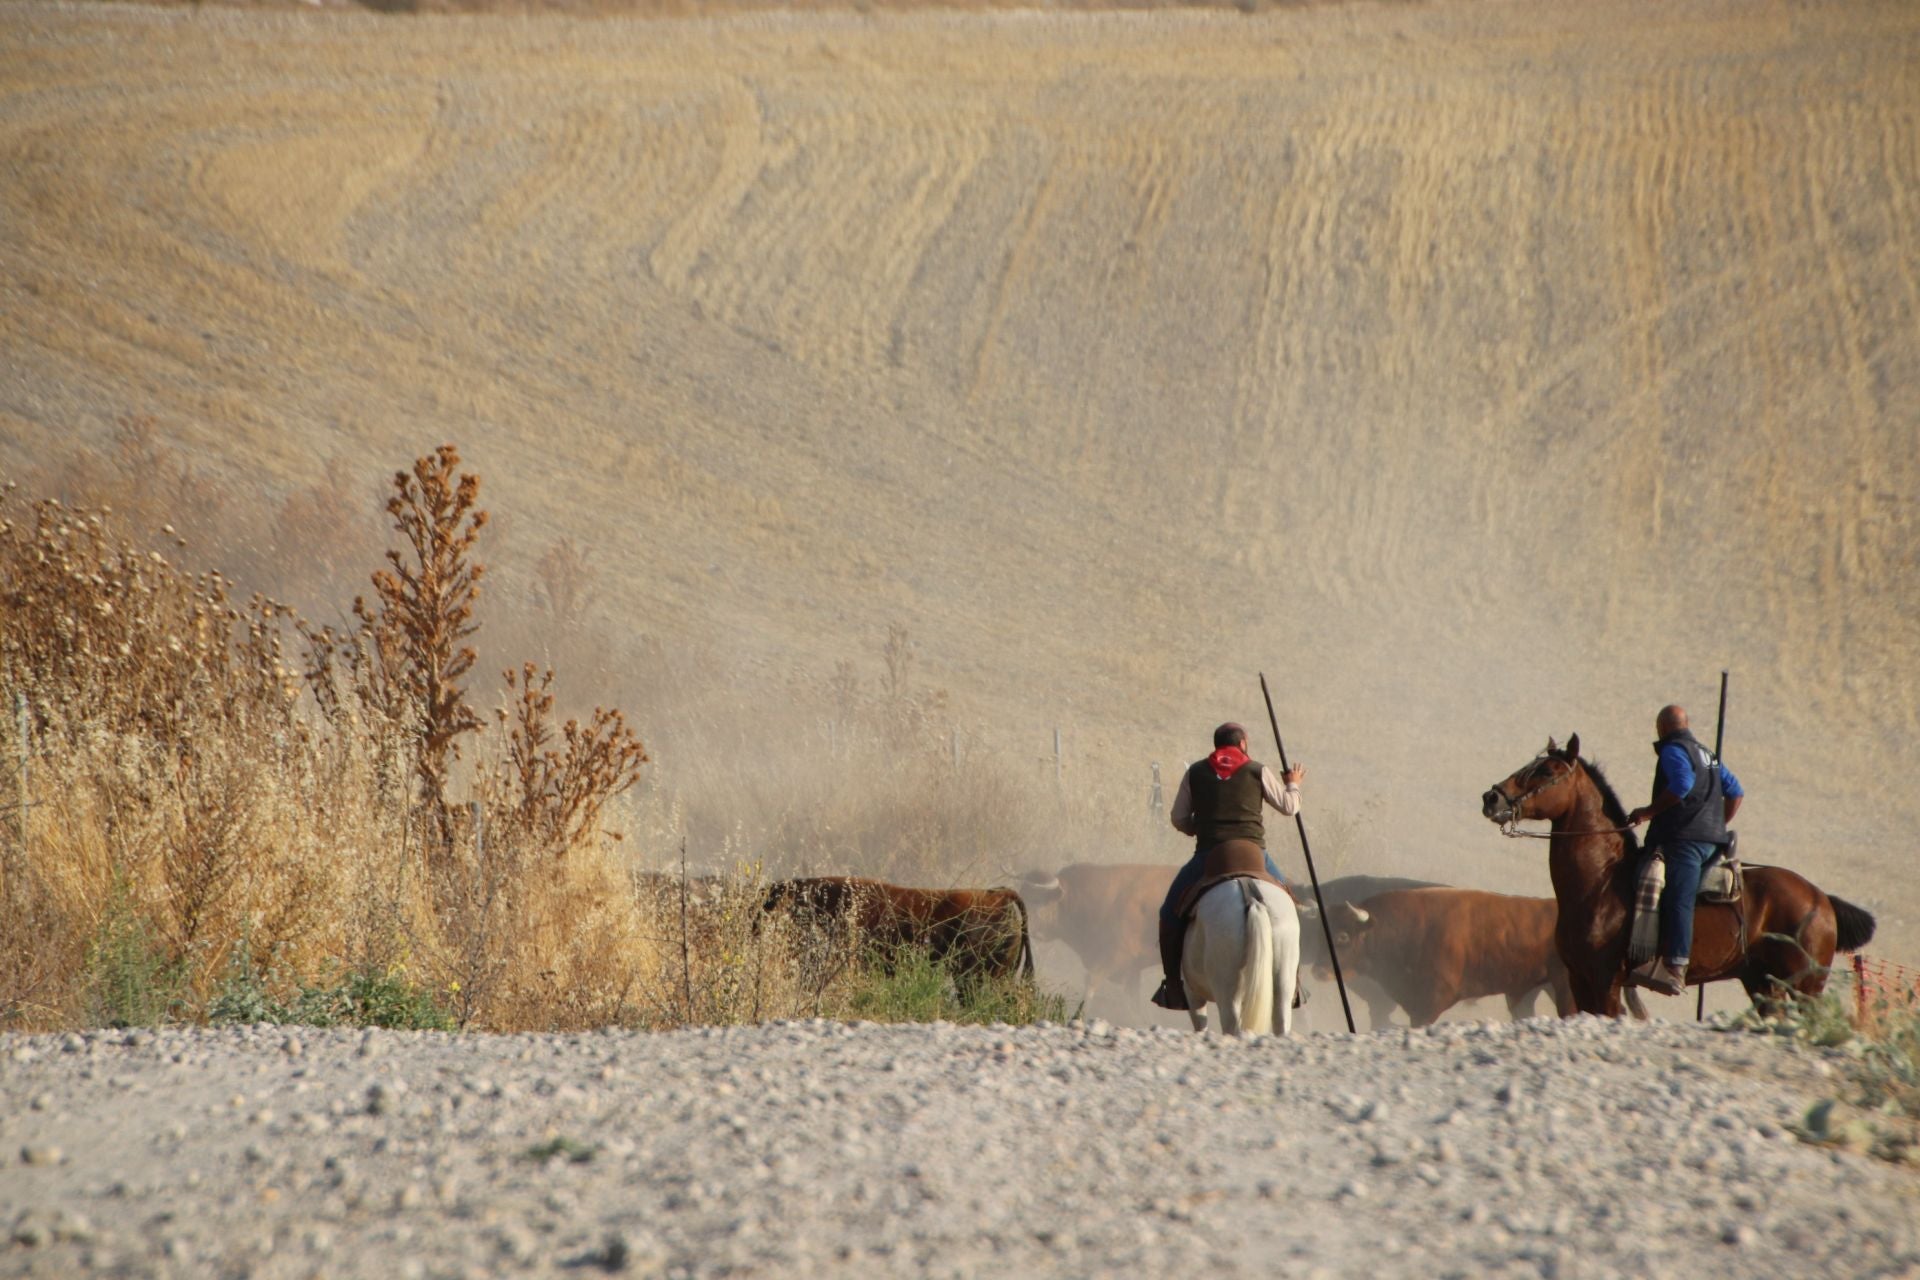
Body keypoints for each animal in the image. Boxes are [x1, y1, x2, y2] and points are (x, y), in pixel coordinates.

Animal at [1175, 875, 1297, 1036]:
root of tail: (1252, 898)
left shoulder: (1192, 992)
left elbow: (1200, 1025)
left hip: (1227, 992)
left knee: (1231, 1024)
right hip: (1283, 981)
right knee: (1281, 1020)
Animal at [1482, 736, 1873, 1013]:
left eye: (1547, 772)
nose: (1492, 797)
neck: (1602, 884)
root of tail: (1821, 899)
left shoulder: (1606, 981)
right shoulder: (1579, 979)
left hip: (1806, 988)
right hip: (1762, 984)